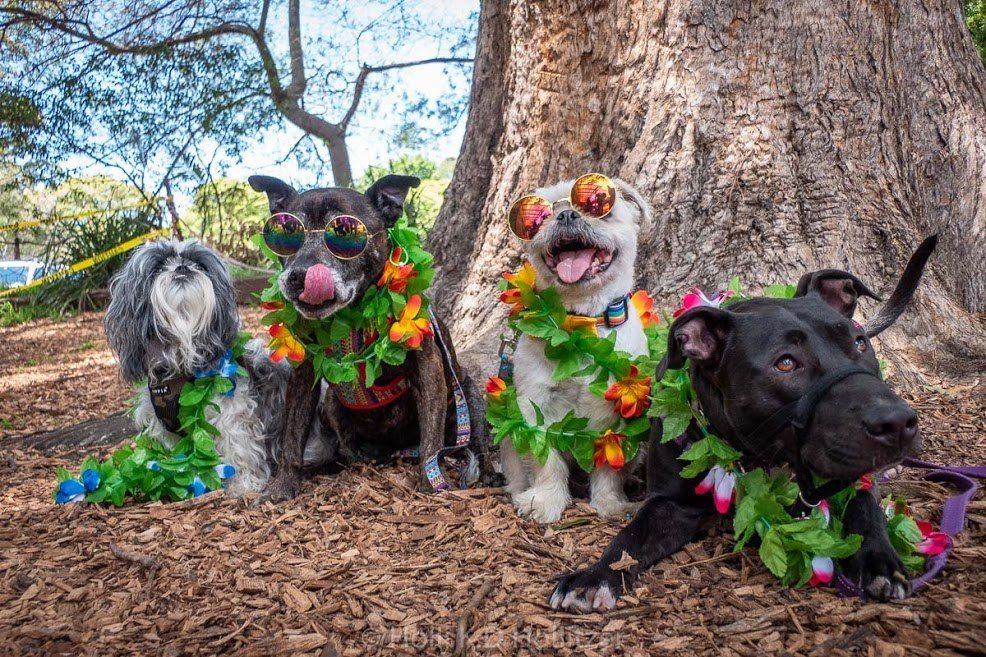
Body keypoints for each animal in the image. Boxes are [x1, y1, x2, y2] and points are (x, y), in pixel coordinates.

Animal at [246, 172, 492, 500]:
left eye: (344, 231)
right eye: (287, 230)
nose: (299, 275)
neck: (350, 321)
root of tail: (399, 447)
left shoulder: (428, 367)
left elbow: (431, 438)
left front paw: (430, 484)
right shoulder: (304, 376)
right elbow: (292, 436)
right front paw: (283, 484)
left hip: (468, 395)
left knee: (473, 444)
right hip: (331, 405)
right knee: (348, 451)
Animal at [500, 178, 652, 524]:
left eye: (597, 205)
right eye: (540, 216)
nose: (566, 214)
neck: (584, 321)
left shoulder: (619, 414)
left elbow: (610, 467)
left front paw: (610, 503)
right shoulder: (535, 405)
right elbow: (546, 461)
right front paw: (545, 500)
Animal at [548, 237, 936, 608]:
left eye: (859, 343)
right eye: (785, 363)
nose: (897, 422)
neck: (754, 457)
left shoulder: (849, 478)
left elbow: (867, 508)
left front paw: (881, 561)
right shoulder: (669, 503)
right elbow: (629, 539)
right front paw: (593, 576)